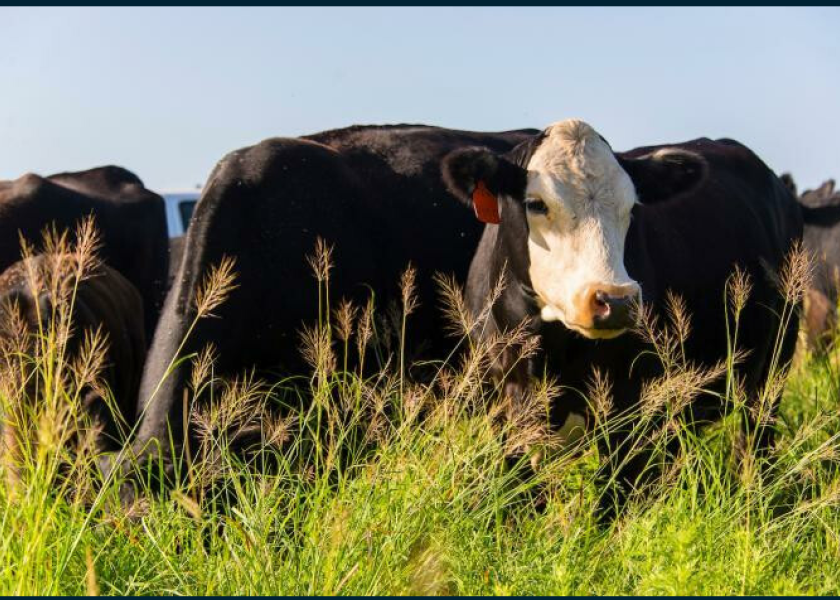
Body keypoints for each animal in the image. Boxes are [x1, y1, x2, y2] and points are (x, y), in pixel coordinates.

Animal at [442, 118, 804, 516]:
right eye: (536, 204)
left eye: (631, 208)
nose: (614, 301)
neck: (547, 351)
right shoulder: (502, 405)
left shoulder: (630, 411)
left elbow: (611, 503)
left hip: (773, 370)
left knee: (754, 446)